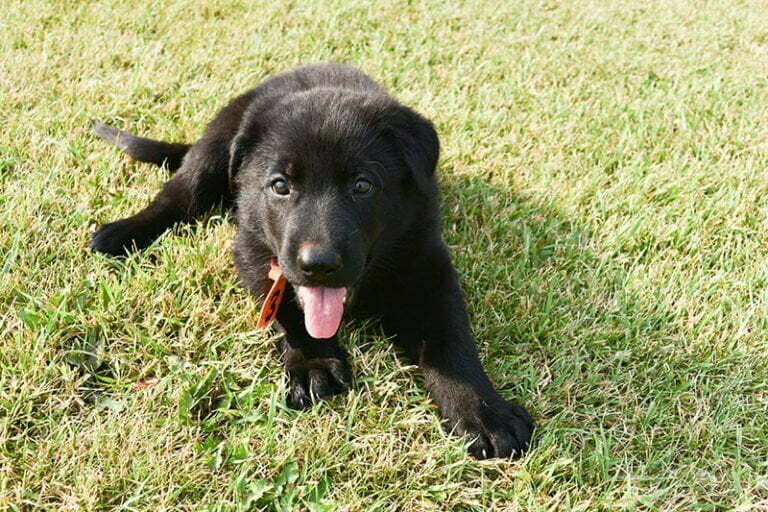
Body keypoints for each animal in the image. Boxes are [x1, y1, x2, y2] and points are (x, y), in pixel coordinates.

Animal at [91, 62, 536, 458]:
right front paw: (313, 361)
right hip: (214, 147)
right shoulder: (254, 250)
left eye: (362, 186)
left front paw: (483, 413)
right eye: (280, 186)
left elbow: (449, 340)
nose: (318, 264)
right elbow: (287, 307)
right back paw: (123, 232)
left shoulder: (425, 262)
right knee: (179, 195)